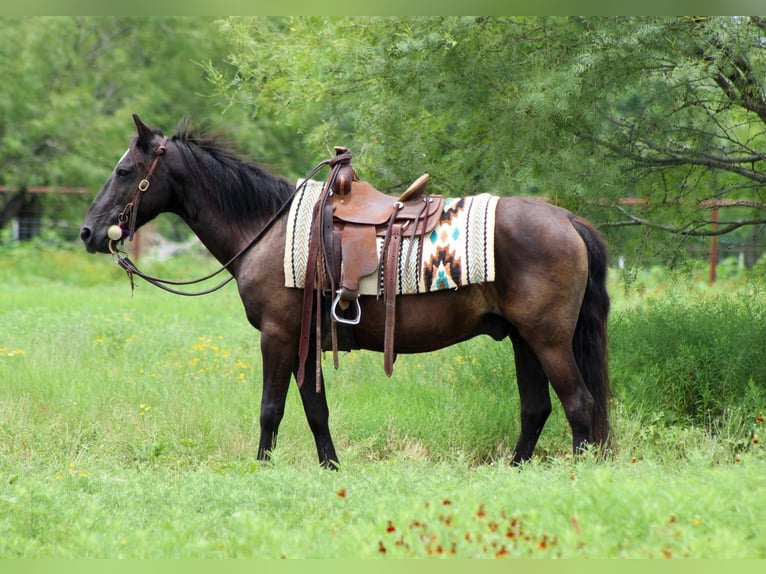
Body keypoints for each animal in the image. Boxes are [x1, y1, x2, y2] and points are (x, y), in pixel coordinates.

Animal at [80, 114, 611, 468]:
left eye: (124, 171)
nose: (88, 232)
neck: (267, 229)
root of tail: (569, 219)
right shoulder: (306, 341)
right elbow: (316, 411)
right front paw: (331, 468)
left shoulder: (277, 336)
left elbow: (271, 409)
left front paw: (261, 470)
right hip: (523, 340)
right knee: (537, 408)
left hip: (547, 340)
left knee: (579, 405)